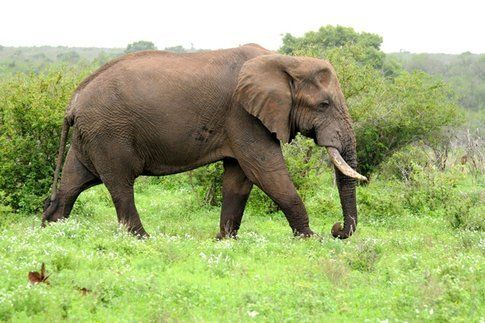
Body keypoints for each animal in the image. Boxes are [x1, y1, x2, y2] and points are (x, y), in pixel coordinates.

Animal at [42, 43, 366, 239]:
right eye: (324, 105)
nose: (337, 229)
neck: (287, 60)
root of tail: (73, 100)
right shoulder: (243, 116)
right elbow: (266, 171)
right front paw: (310, 240)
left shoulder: (241, 122)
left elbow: (240, 178)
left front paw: (225, 241)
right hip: (109, 133)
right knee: (120, 184)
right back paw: (143, 239)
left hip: (90, 136)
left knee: (74, 182)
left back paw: (52, 230)